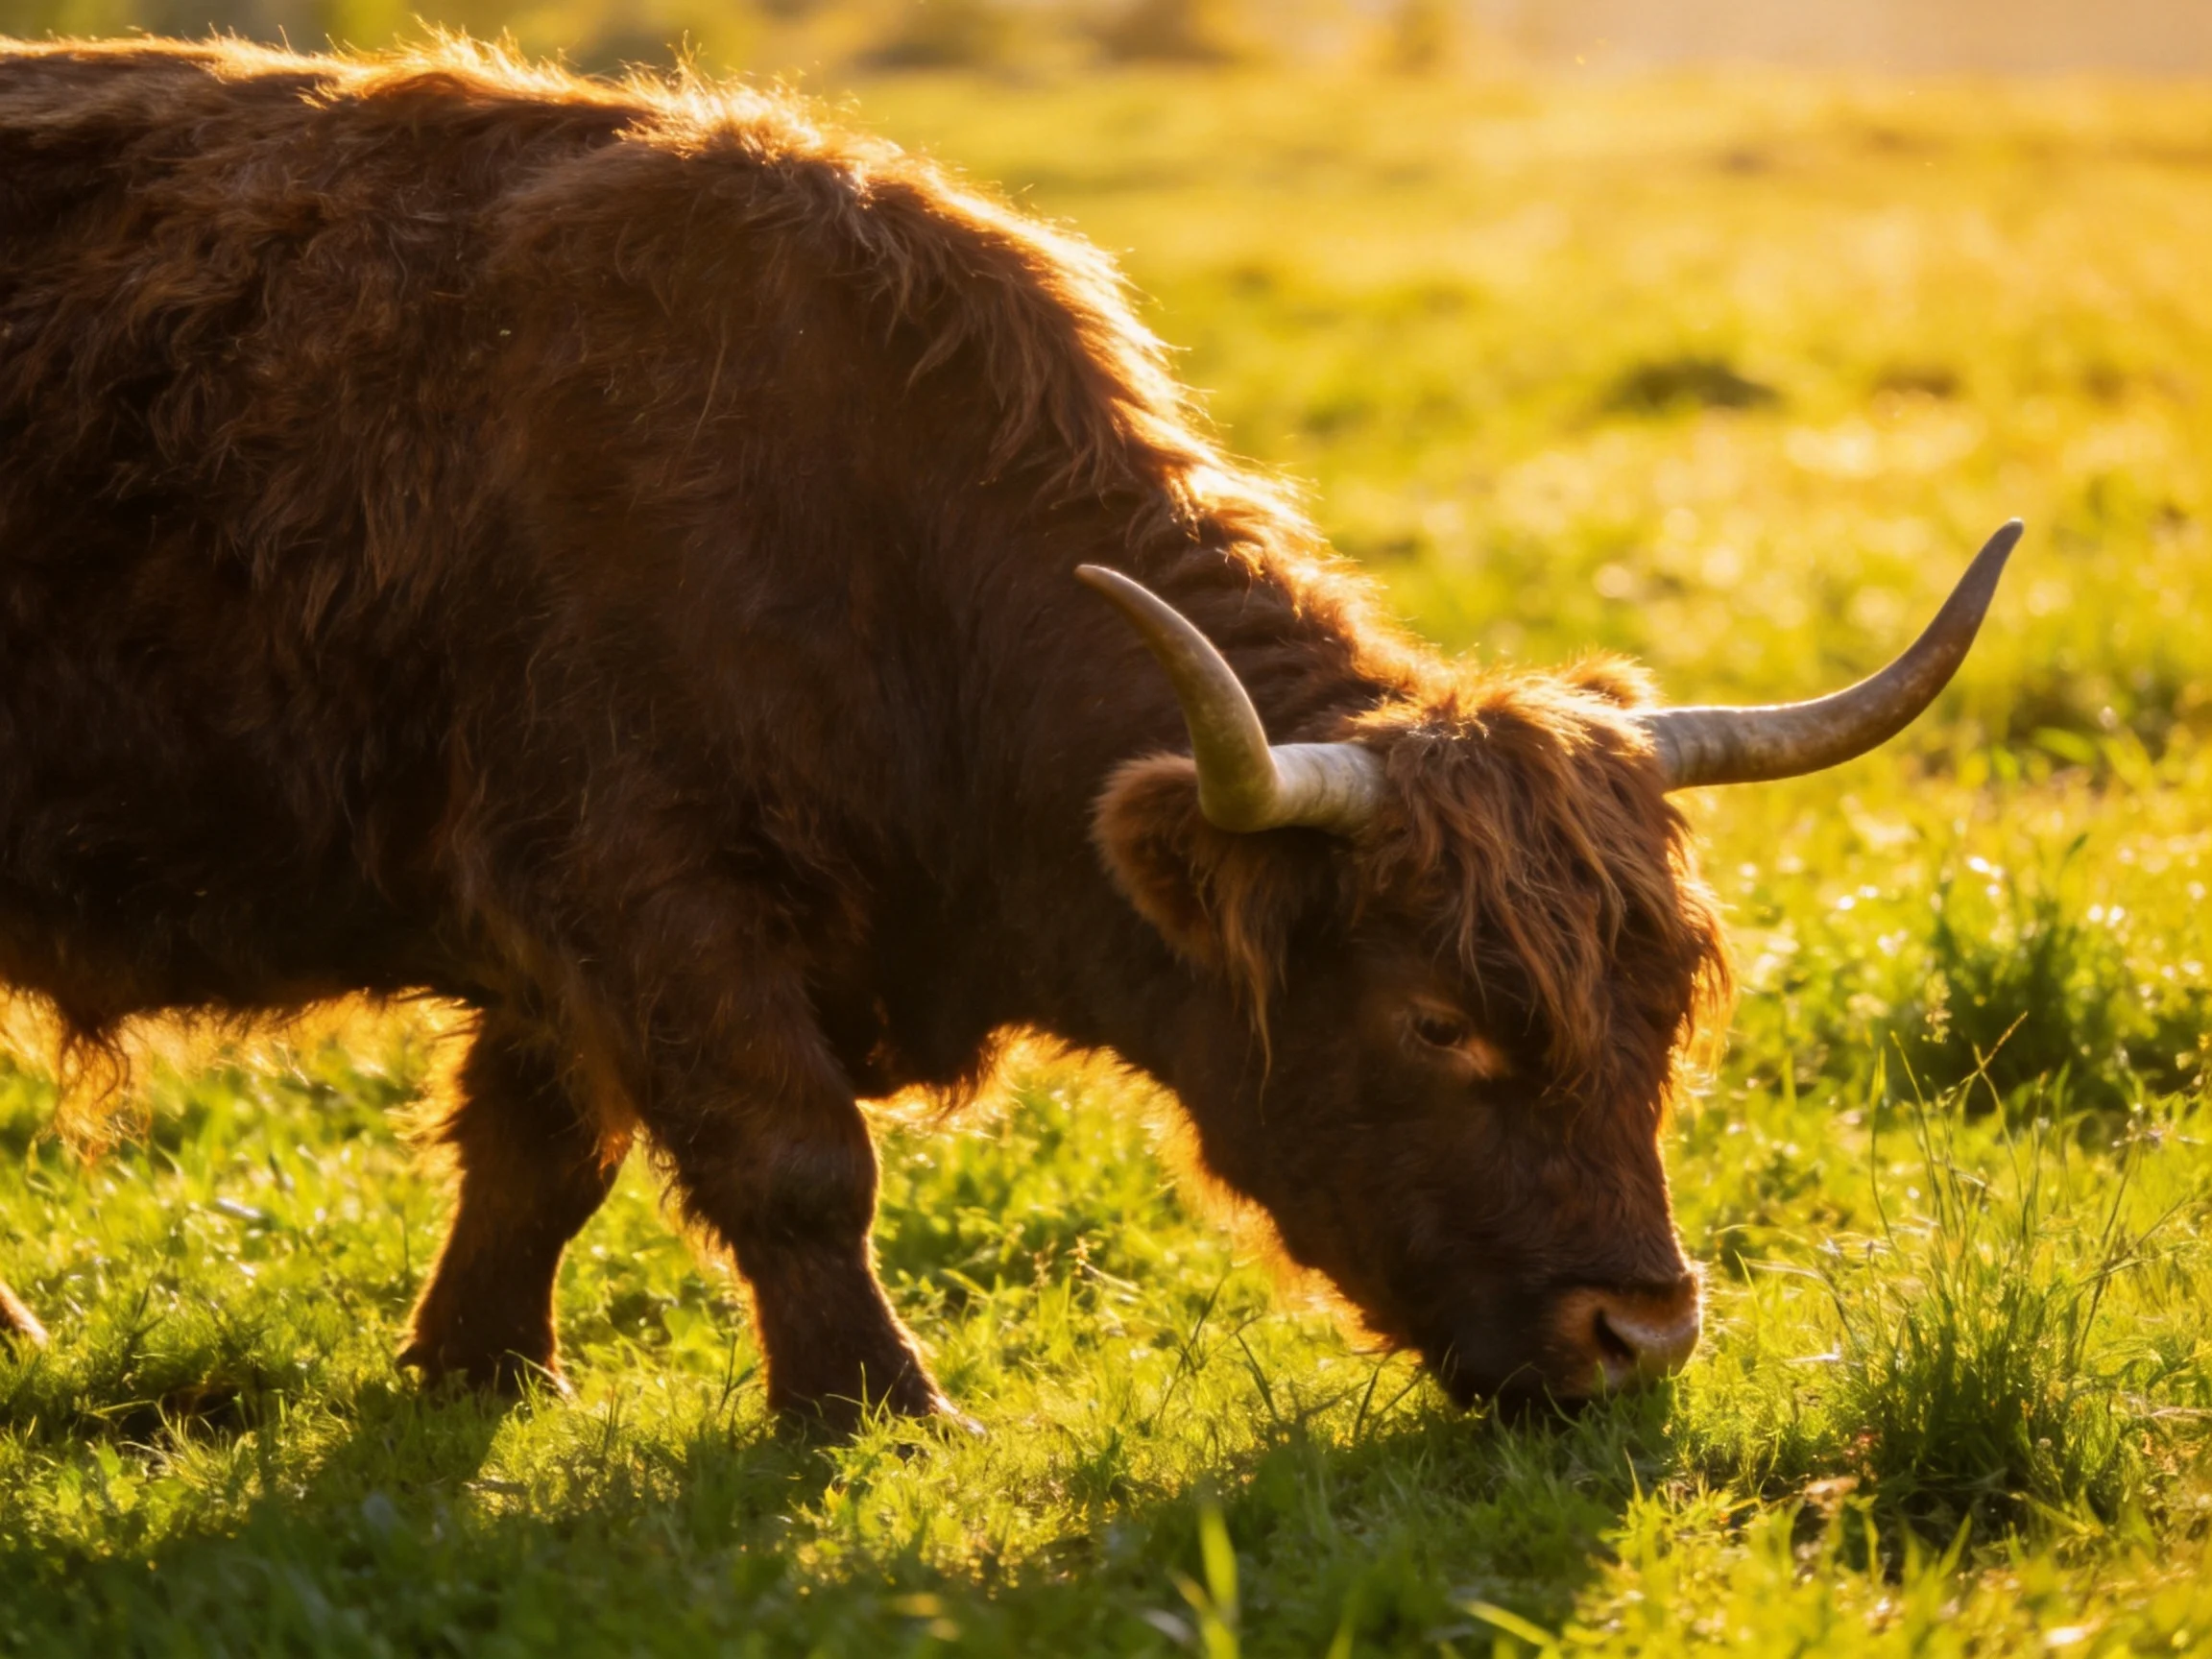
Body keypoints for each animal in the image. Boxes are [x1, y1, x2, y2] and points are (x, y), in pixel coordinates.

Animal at [0, 38, 2018, 1430]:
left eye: (1663, 1006)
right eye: (1434, 1019)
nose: (1639, 1330)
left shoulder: (567, 934)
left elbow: (536, 1154)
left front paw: (481, 1371)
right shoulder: (633, 877)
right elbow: (793, 1158)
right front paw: (878, 1406)